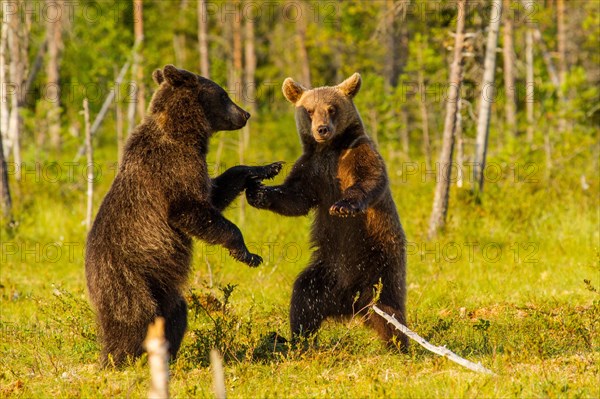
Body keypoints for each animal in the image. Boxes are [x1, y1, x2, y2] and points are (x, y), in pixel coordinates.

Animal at [85, 66, 282, 368]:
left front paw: (266, 168)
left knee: (176, 312)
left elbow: (215, 193)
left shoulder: (196, 169)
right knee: (133, 318)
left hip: (162, 287)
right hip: (127, 278)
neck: (185, 134)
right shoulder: (173, 167)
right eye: (224, 95)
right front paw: (248, 254)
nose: (245, 114)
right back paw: (121, 359)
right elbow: (189, 209)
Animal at [246, 73, 410, 352]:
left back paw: (399, 345)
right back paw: (294, 340)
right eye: (310, 111)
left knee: (390, 309)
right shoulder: (313, 169)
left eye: (332, 109)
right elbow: (295, 197)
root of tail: (351, 304)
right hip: (326, 273)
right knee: (303, 299)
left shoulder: (356, 153)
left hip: (382, 262)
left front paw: (343, 206)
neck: (331, 149)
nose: (322, 129)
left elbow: (369, 178)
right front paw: (256, 191)